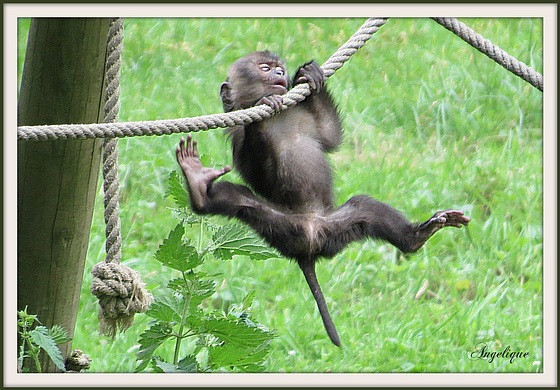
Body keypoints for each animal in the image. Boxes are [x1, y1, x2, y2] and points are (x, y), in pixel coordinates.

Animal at [175, 50, 468, 346]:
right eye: (265, 68)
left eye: (279, 68)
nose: (280, 74)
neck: (280, 119)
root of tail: (310, 244)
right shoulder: (238, 130)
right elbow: (259, 174)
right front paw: (265, 106)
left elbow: (329, 137)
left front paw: (310, 76)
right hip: (281, 228)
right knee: (242, 201)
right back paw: (199, 187)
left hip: (337, 227)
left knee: (365, 207)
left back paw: (417, 236)